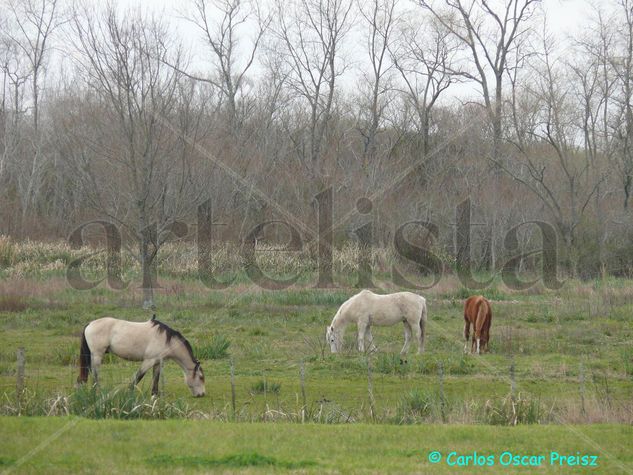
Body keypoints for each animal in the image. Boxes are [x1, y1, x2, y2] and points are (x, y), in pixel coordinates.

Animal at [76, 316, 205, 398]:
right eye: (201, 377)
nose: (202, 394)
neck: (165, 340)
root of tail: (90, 324)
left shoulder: (157, 362)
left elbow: (156, 378)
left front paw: (154, 395)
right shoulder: (148, 361)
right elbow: (138, 377)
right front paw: (129, 393)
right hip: (97, 356)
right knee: (95, 375)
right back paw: (97, 392)